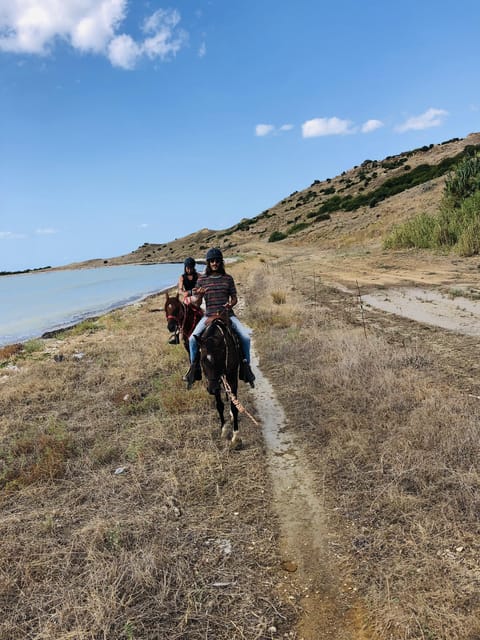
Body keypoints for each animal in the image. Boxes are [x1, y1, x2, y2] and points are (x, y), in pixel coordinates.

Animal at [195, 312, 242, 448]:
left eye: (220, 358)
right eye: (202, 360)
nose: (212, 389)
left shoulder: (231, 378)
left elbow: (234, 406)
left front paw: (236, 437)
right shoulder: (214, 381)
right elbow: (219, 405)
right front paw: (223, 429)